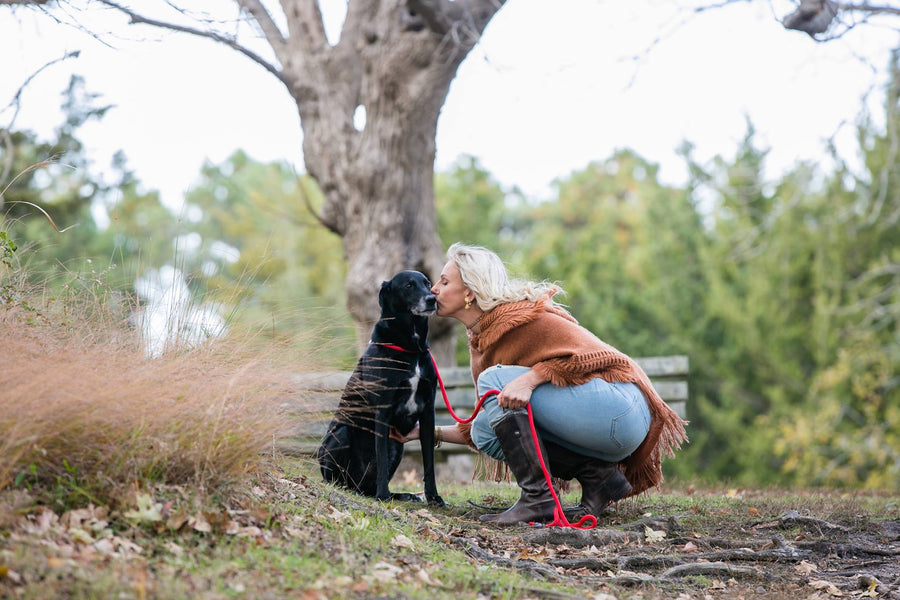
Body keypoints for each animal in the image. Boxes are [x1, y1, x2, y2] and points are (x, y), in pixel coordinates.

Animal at [318, 270, 444, 504]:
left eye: (427, 283)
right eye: (408, 285)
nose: (432, 299)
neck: (411, 348)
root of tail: (357, 485)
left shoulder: (428, 411)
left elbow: (429, 462)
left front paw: (433, 496)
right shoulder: (383, 411)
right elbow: (382, 459)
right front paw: (383, 495)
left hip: (398, 446)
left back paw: (401, 495)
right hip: (341, 435)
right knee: (338, 481)